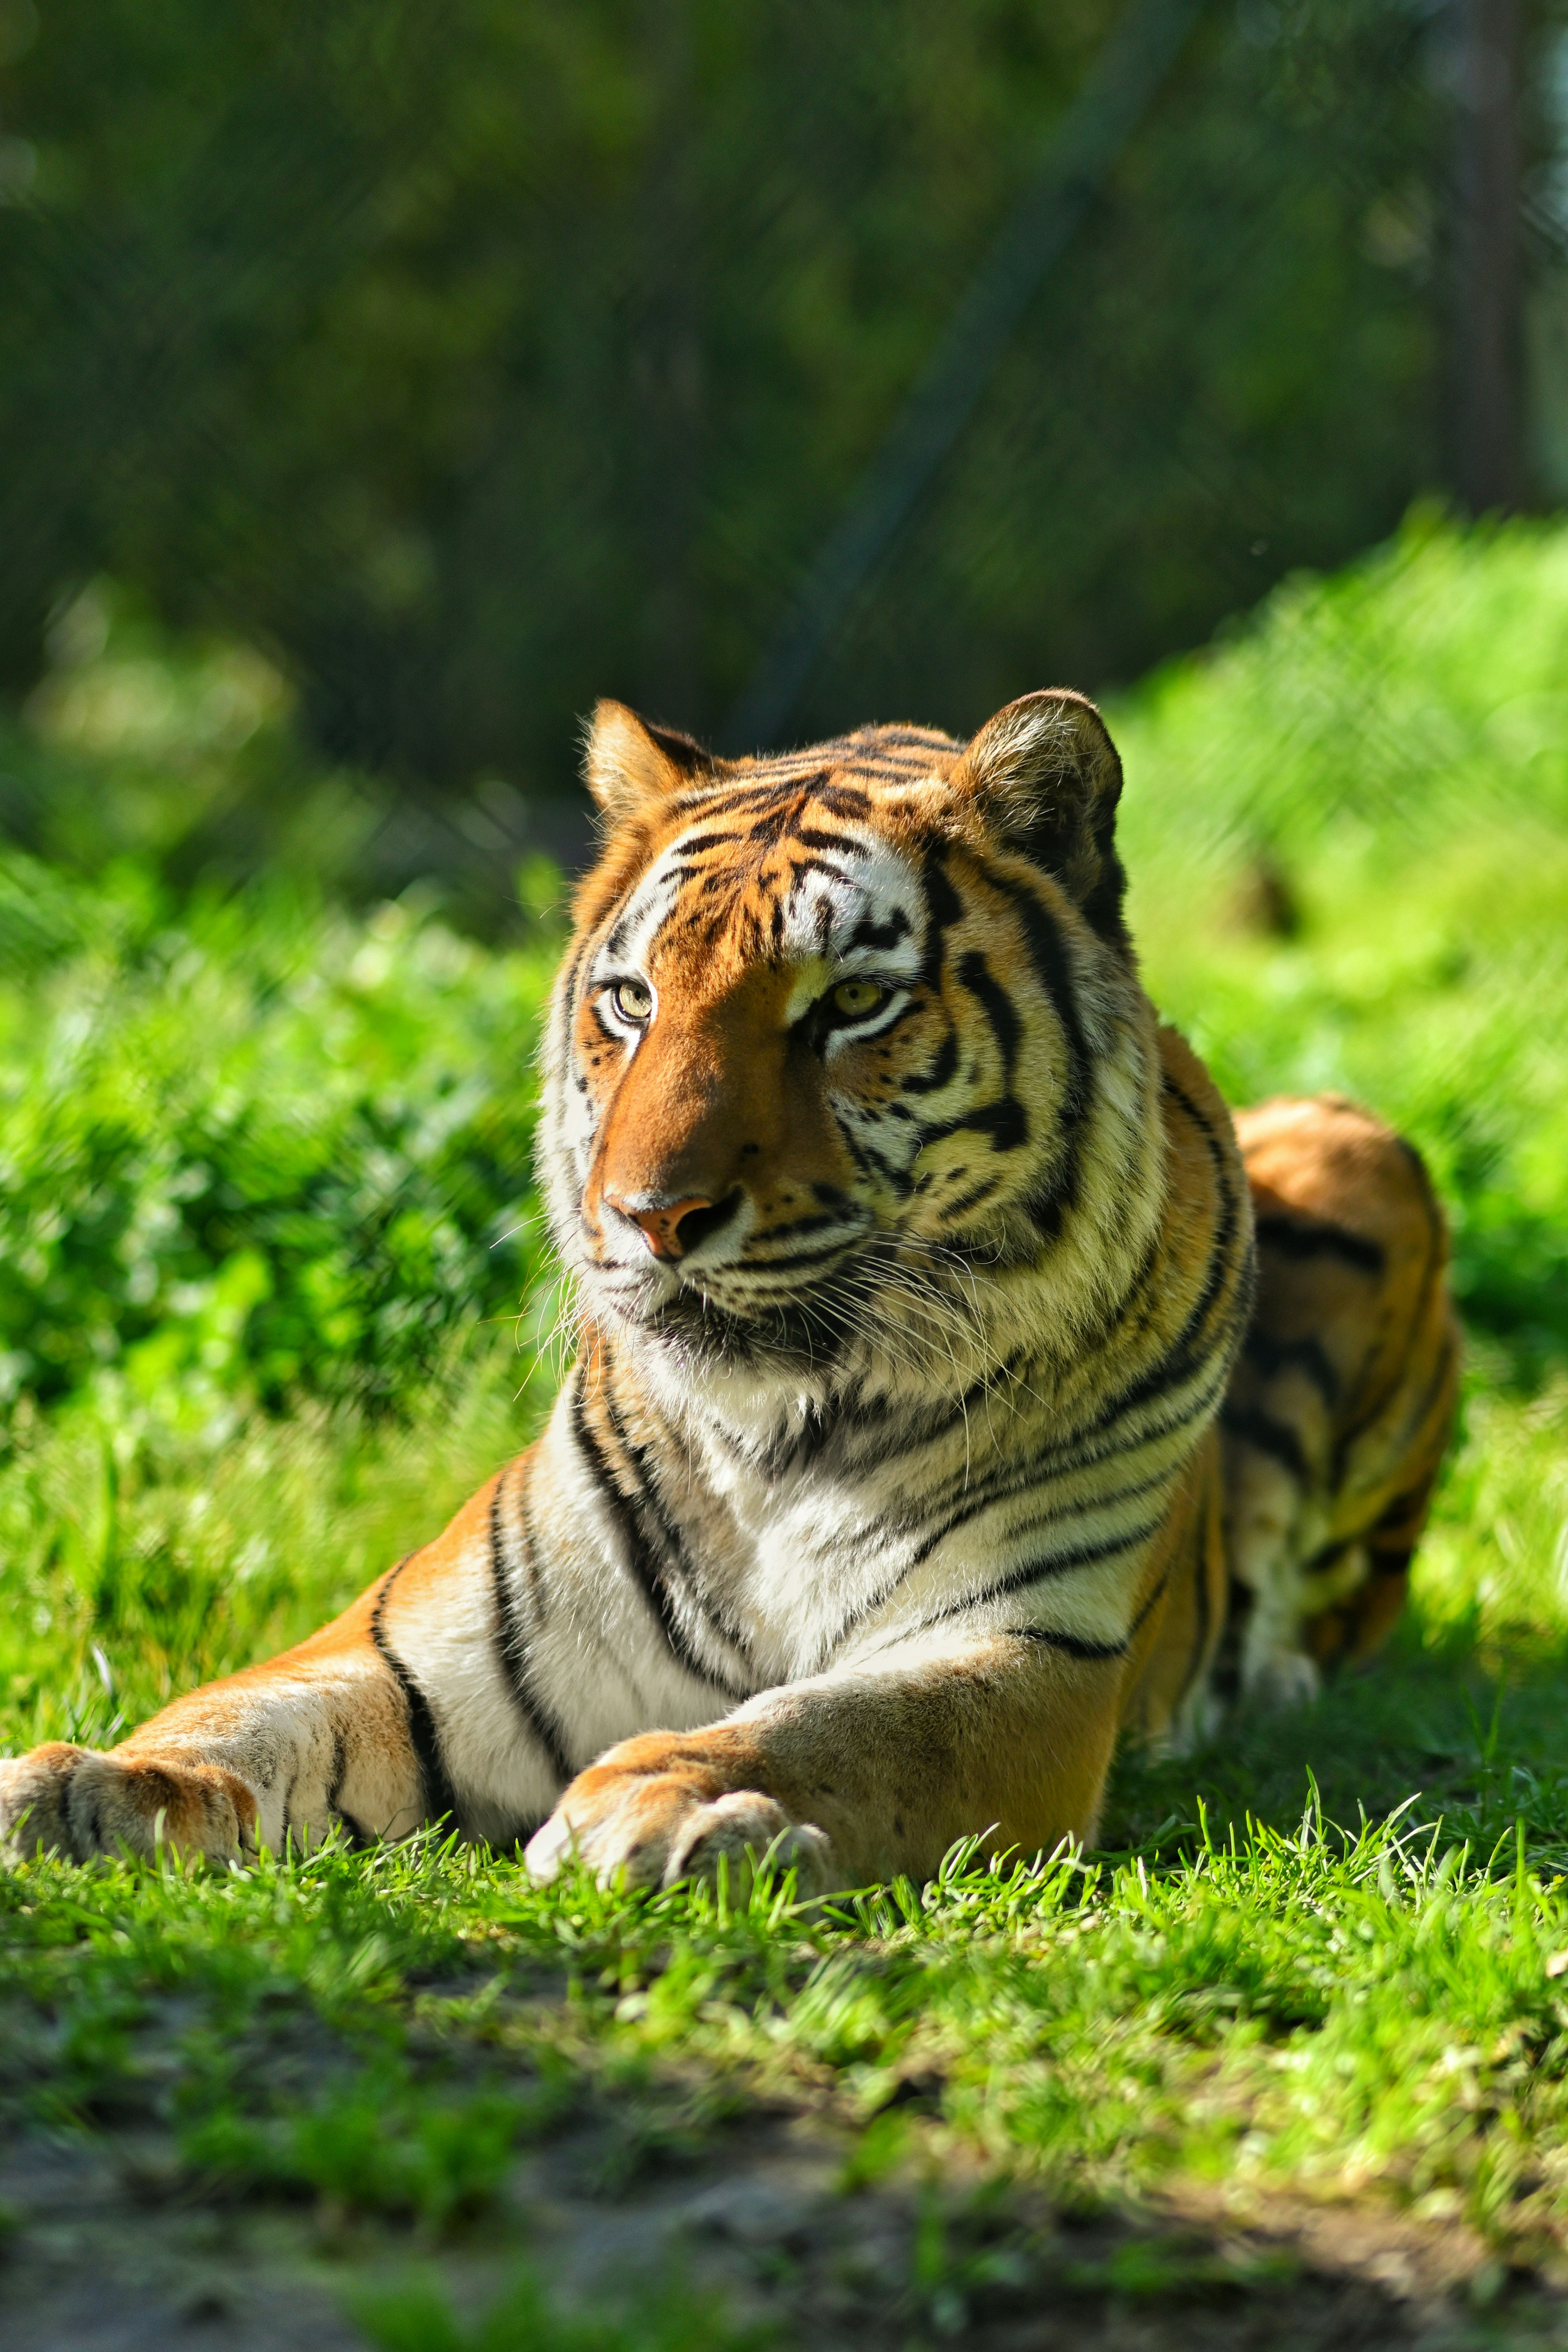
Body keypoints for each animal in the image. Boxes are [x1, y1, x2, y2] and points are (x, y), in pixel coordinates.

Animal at [0, 691, 1458, 1889]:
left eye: (853, 1003)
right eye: (632, 999)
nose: (651, 1215)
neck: (780, 1432)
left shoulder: (1026, 1654)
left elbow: (836, 1725)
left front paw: (665, 1803)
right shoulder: (427, 1647)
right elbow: (249, 1713)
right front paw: (82, 1789)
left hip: (1355, 1148)